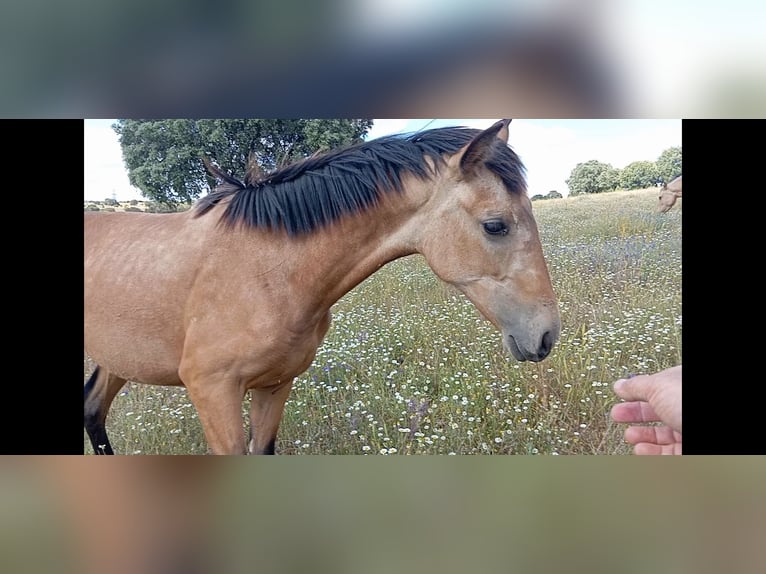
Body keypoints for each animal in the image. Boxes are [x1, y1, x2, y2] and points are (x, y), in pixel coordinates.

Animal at [85, 119, 564, 456]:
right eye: (495, 225)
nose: (545, 335)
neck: (266, 268)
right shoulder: (212, 390)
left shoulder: (275, 385)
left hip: (117, 358)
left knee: (92, 408)